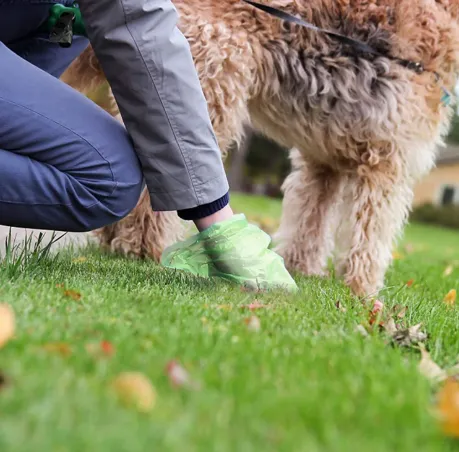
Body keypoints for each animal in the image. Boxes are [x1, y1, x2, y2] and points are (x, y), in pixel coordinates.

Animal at [63, 0, 459, 296]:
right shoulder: (387, 162)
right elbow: (372, 236)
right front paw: (364, 291)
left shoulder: (324, 162)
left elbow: (310, 224)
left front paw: (304, 270)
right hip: (207, 91)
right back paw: (143, 247)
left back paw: (118, 241)